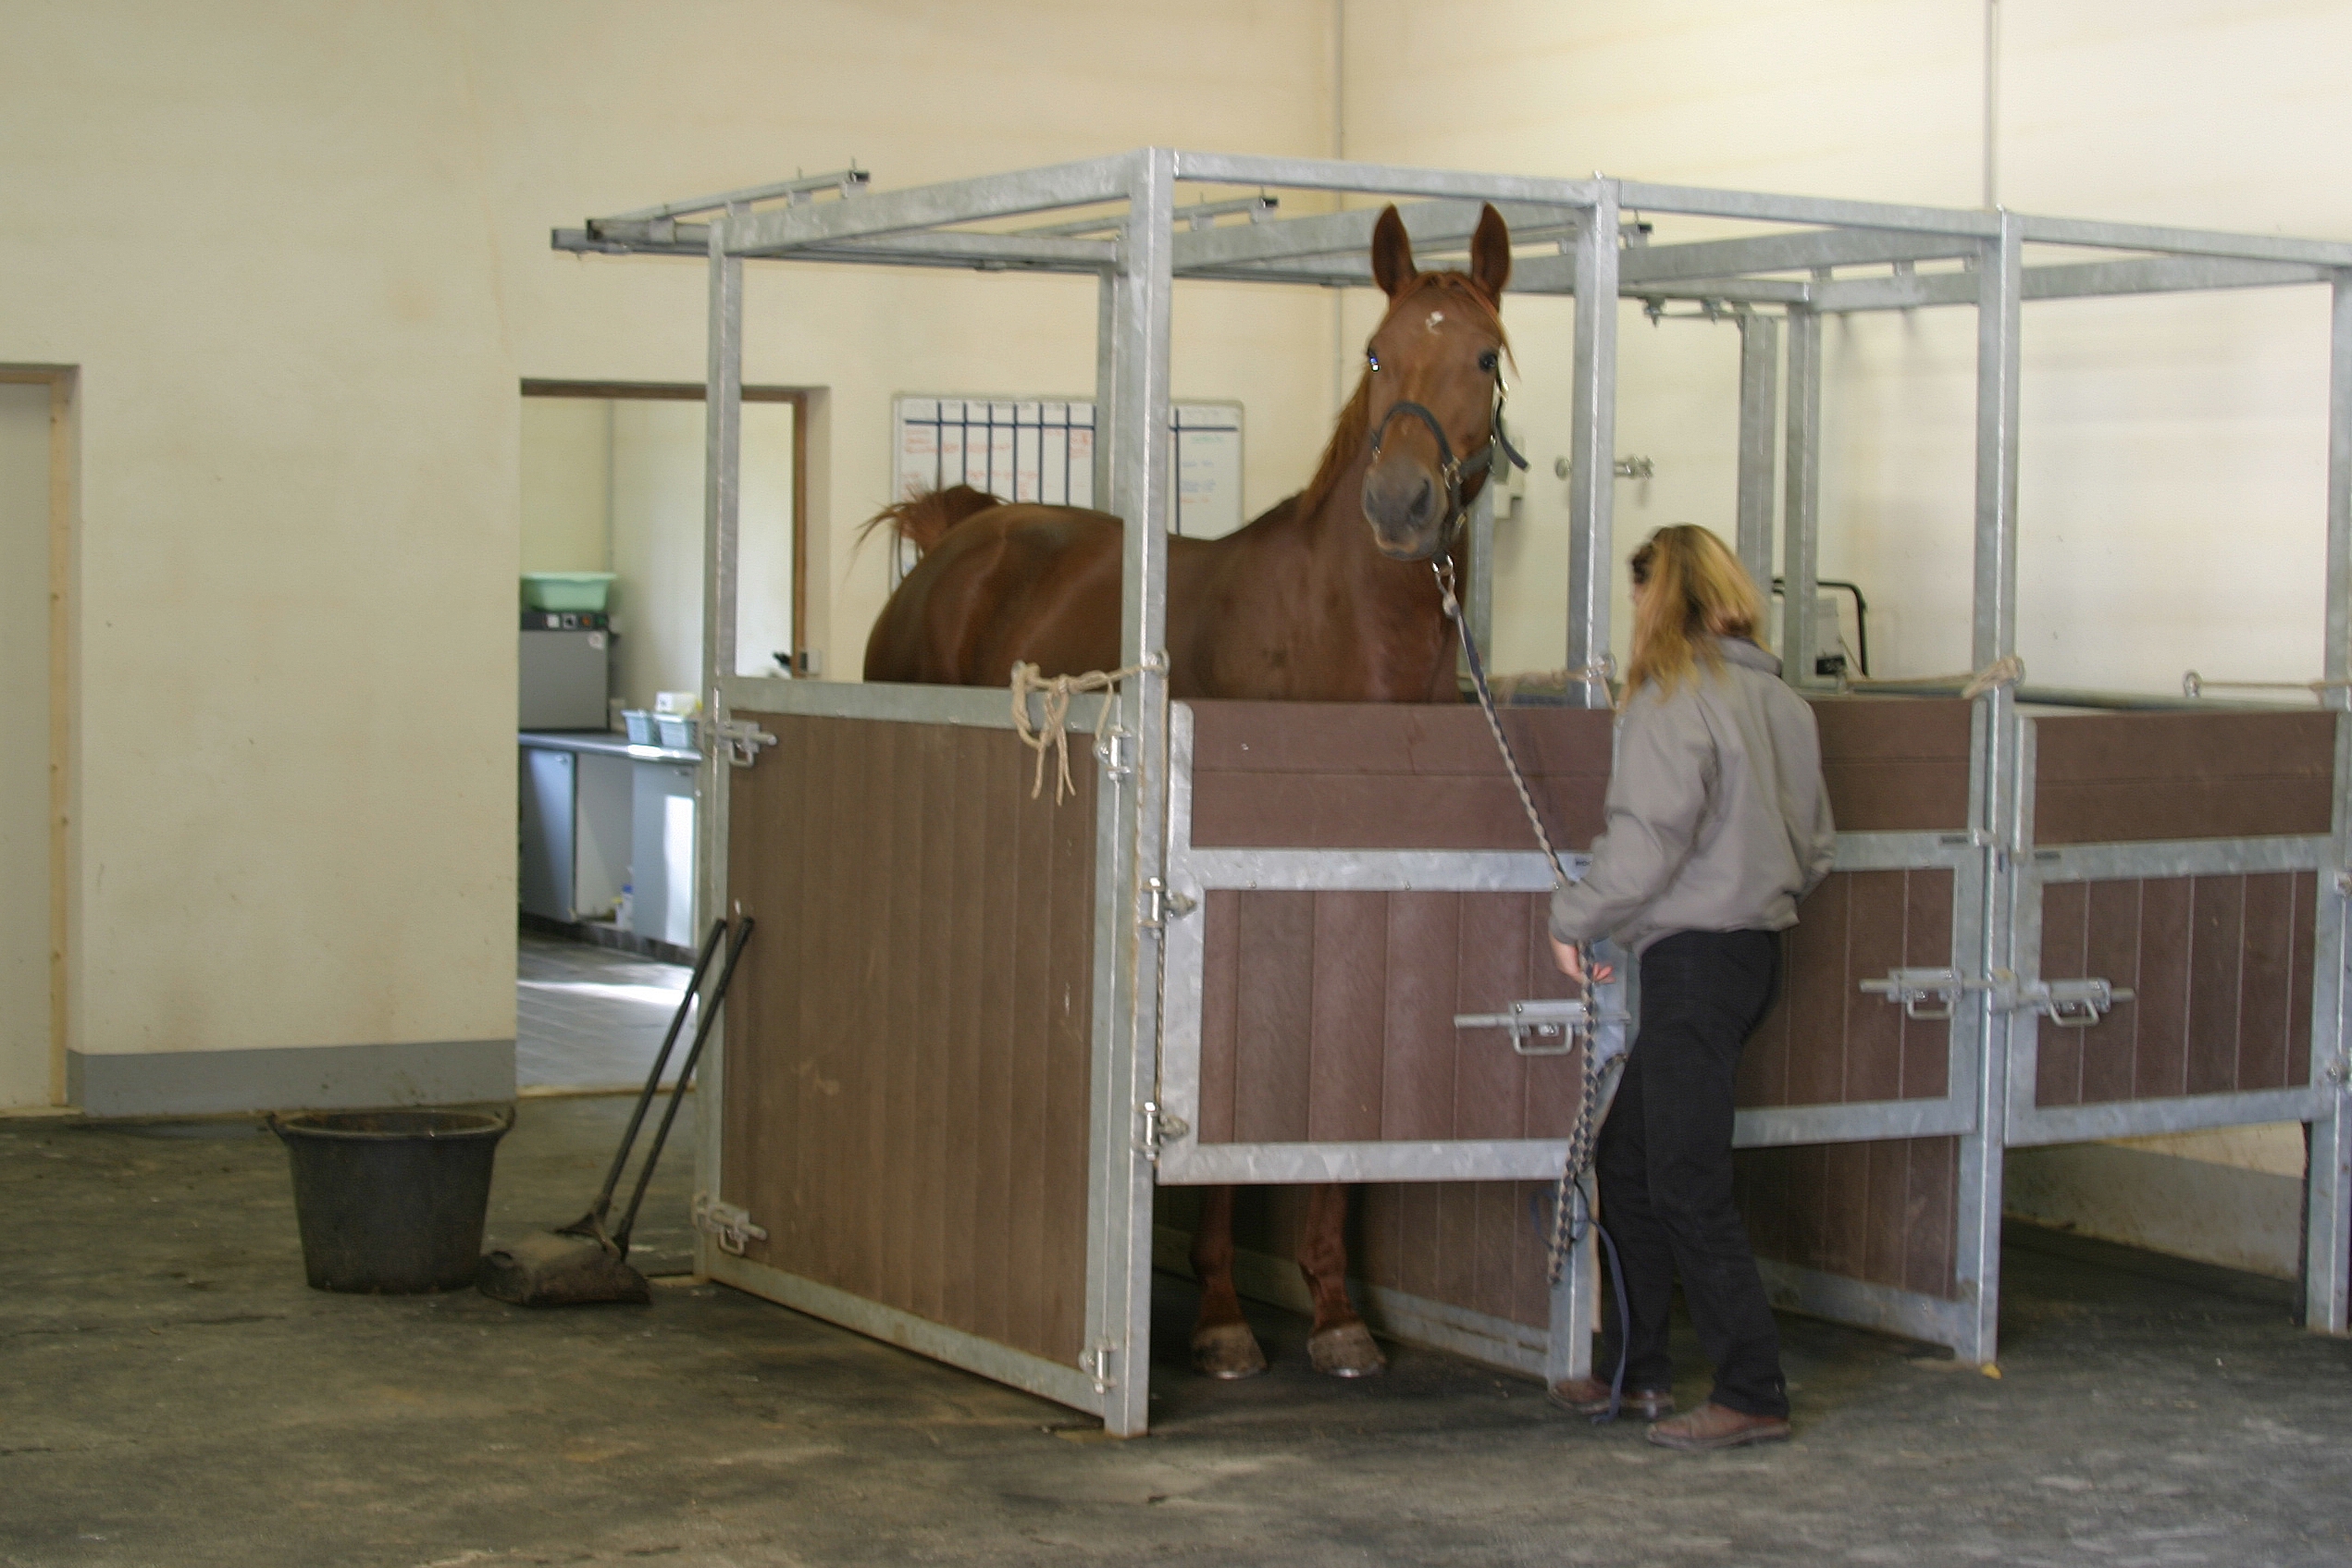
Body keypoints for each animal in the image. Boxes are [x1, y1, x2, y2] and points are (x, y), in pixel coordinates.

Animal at [874, 202, 1515, 1382]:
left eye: (1485, 356)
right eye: (1375, 354)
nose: (1400, 506)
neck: (1339, 631)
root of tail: (966, 534)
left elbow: (1332, 1107)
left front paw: (1335, 1312)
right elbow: (1210, 1110)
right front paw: (1222, 1317)